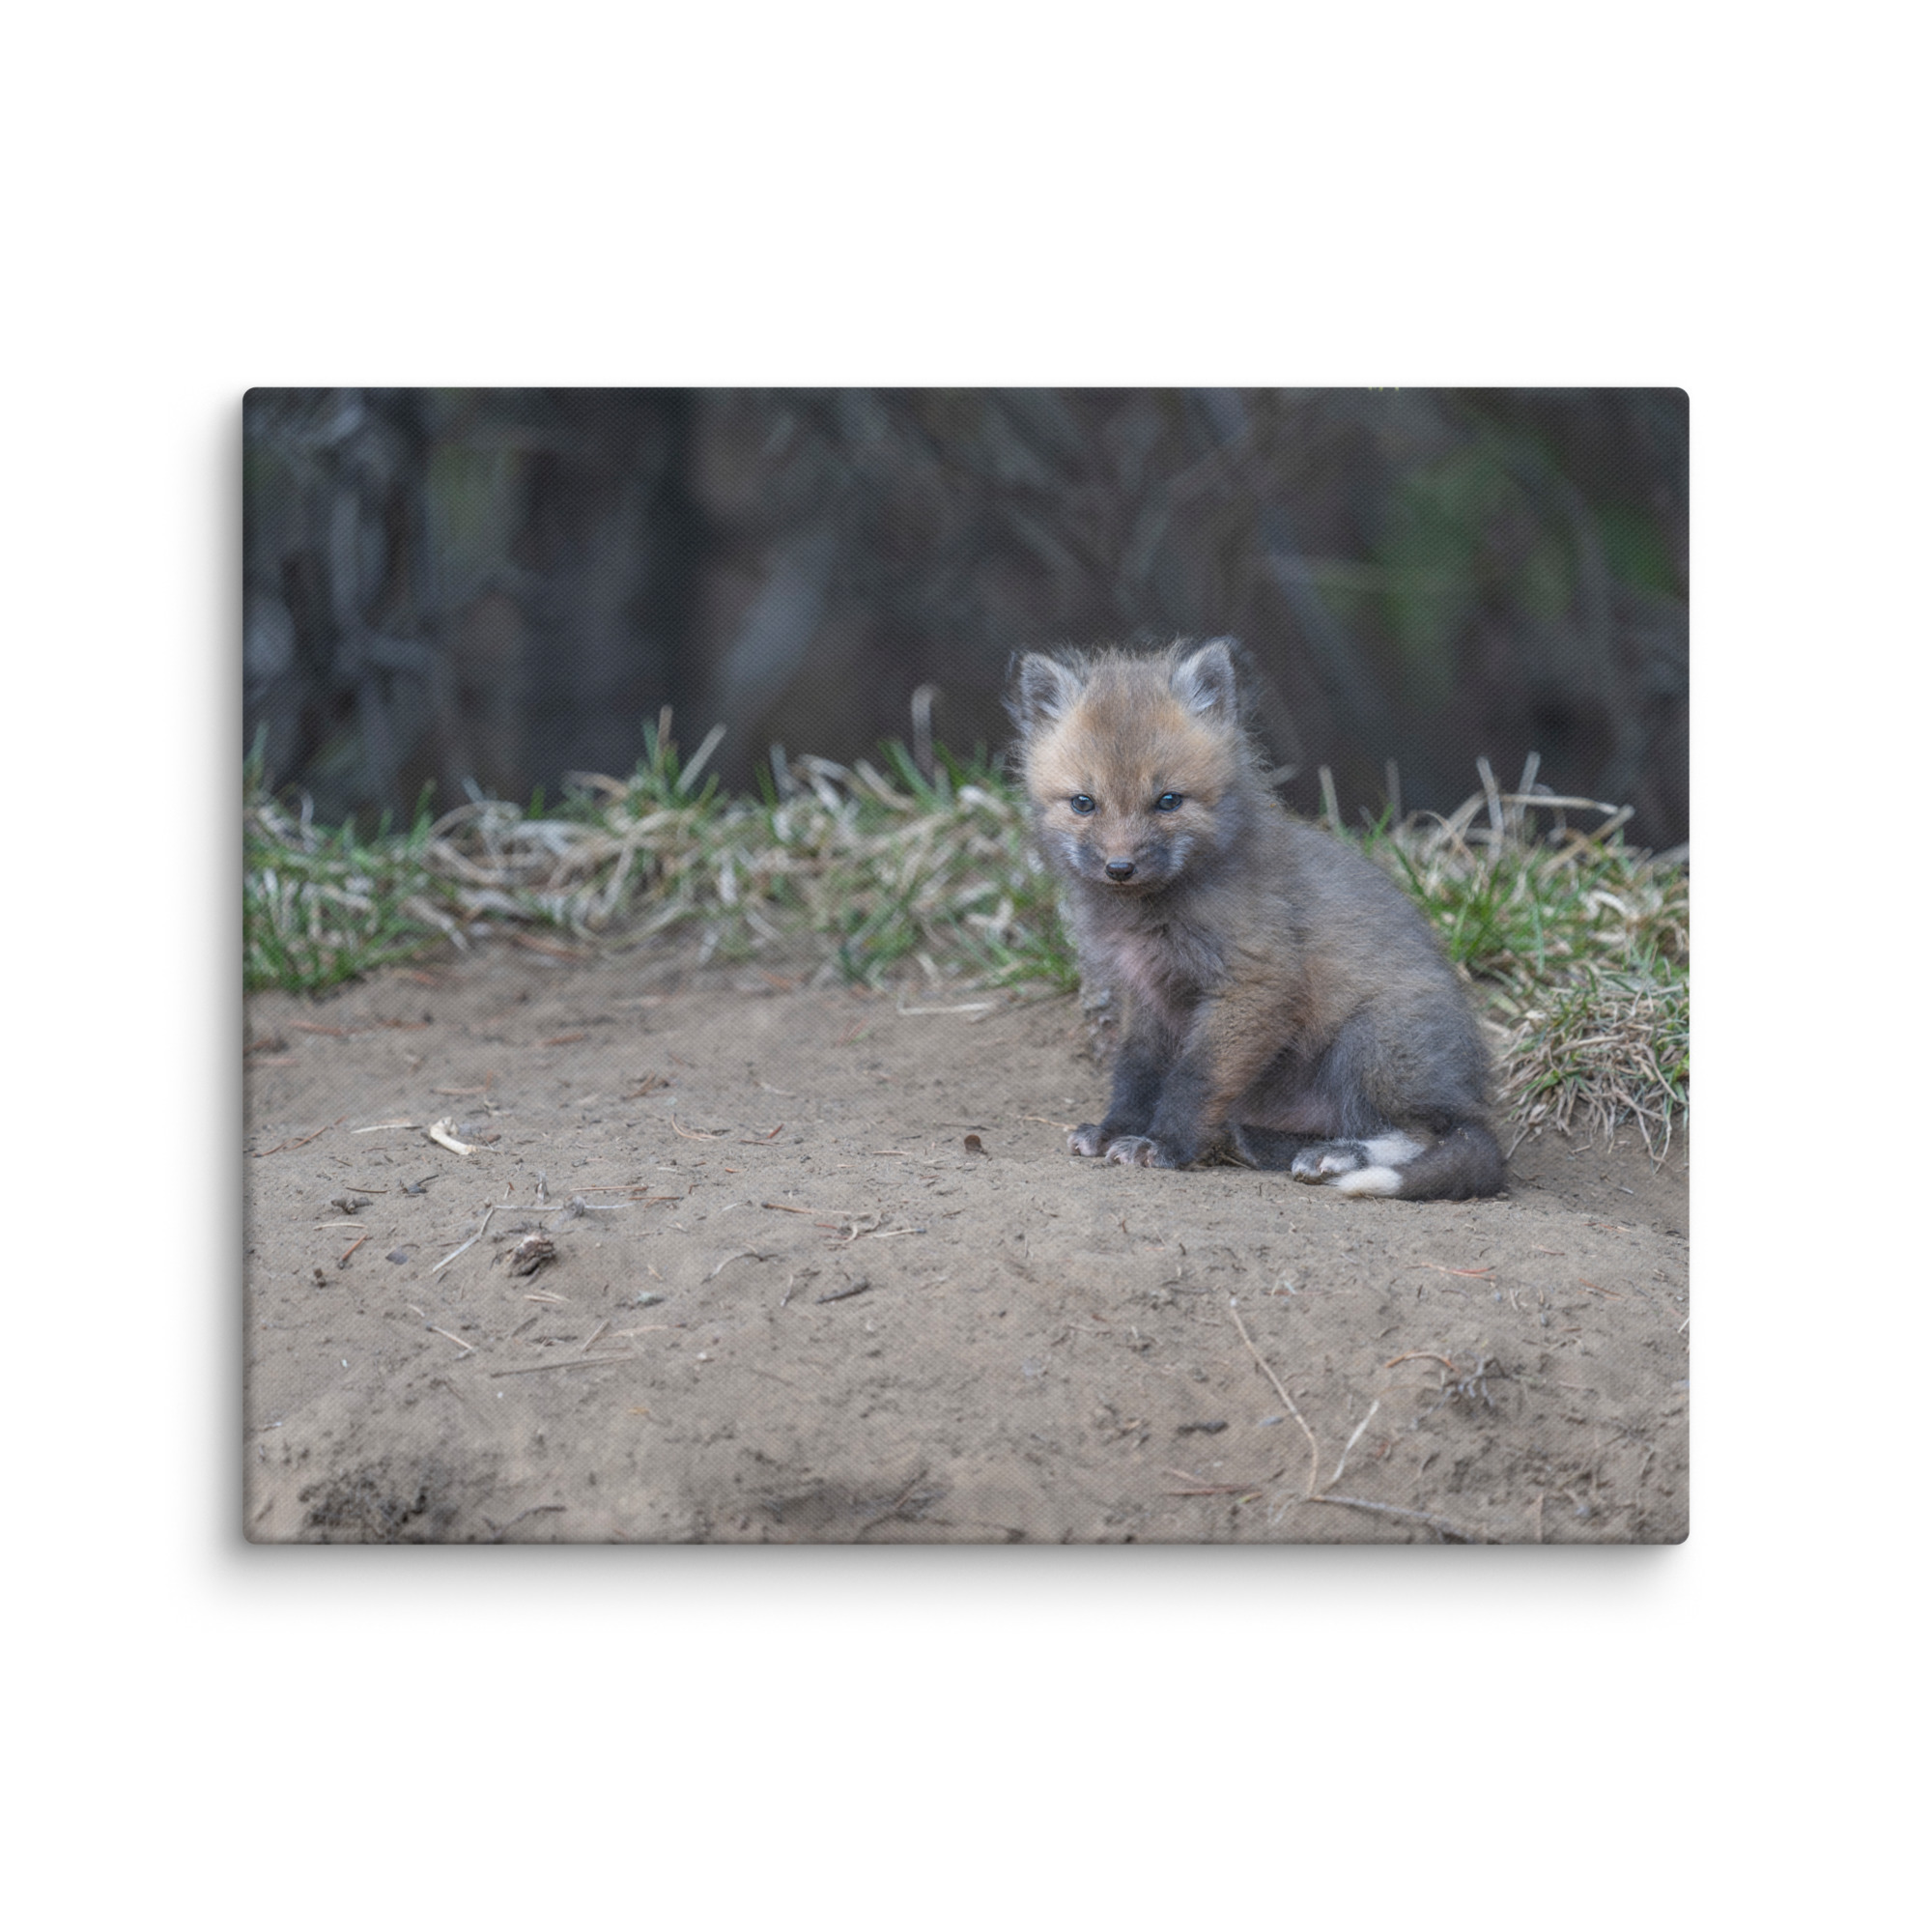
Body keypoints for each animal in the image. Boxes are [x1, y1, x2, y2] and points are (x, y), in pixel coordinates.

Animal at [1007, 638, 1505, 1200]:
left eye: (1168, 801)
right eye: (1084, 803)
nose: (1120, 867)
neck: (1151, 915)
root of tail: (1470, 1093)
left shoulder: (1254, 982)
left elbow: (1194, 1078)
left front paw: (1164, 1145)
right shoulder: (1147, 993)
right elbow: (1136, 1072)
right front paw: (1117, 1130)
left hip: (1371, 1043)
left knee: (1428, 1133)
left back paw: (1337, 1156)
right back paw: (1260, 1142)